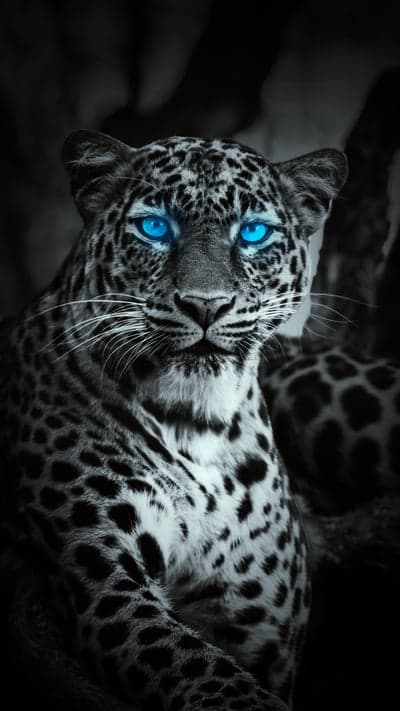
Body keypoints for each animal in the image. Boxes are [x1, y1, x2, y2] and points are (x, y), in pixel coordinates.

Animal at [0, 129, 347, 711]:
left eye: (253, 232)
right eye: (155, 227)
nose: (205, 305)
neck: (198, 423)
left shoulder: (260, 628)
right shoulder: (107, 587)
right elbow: (211, 676)